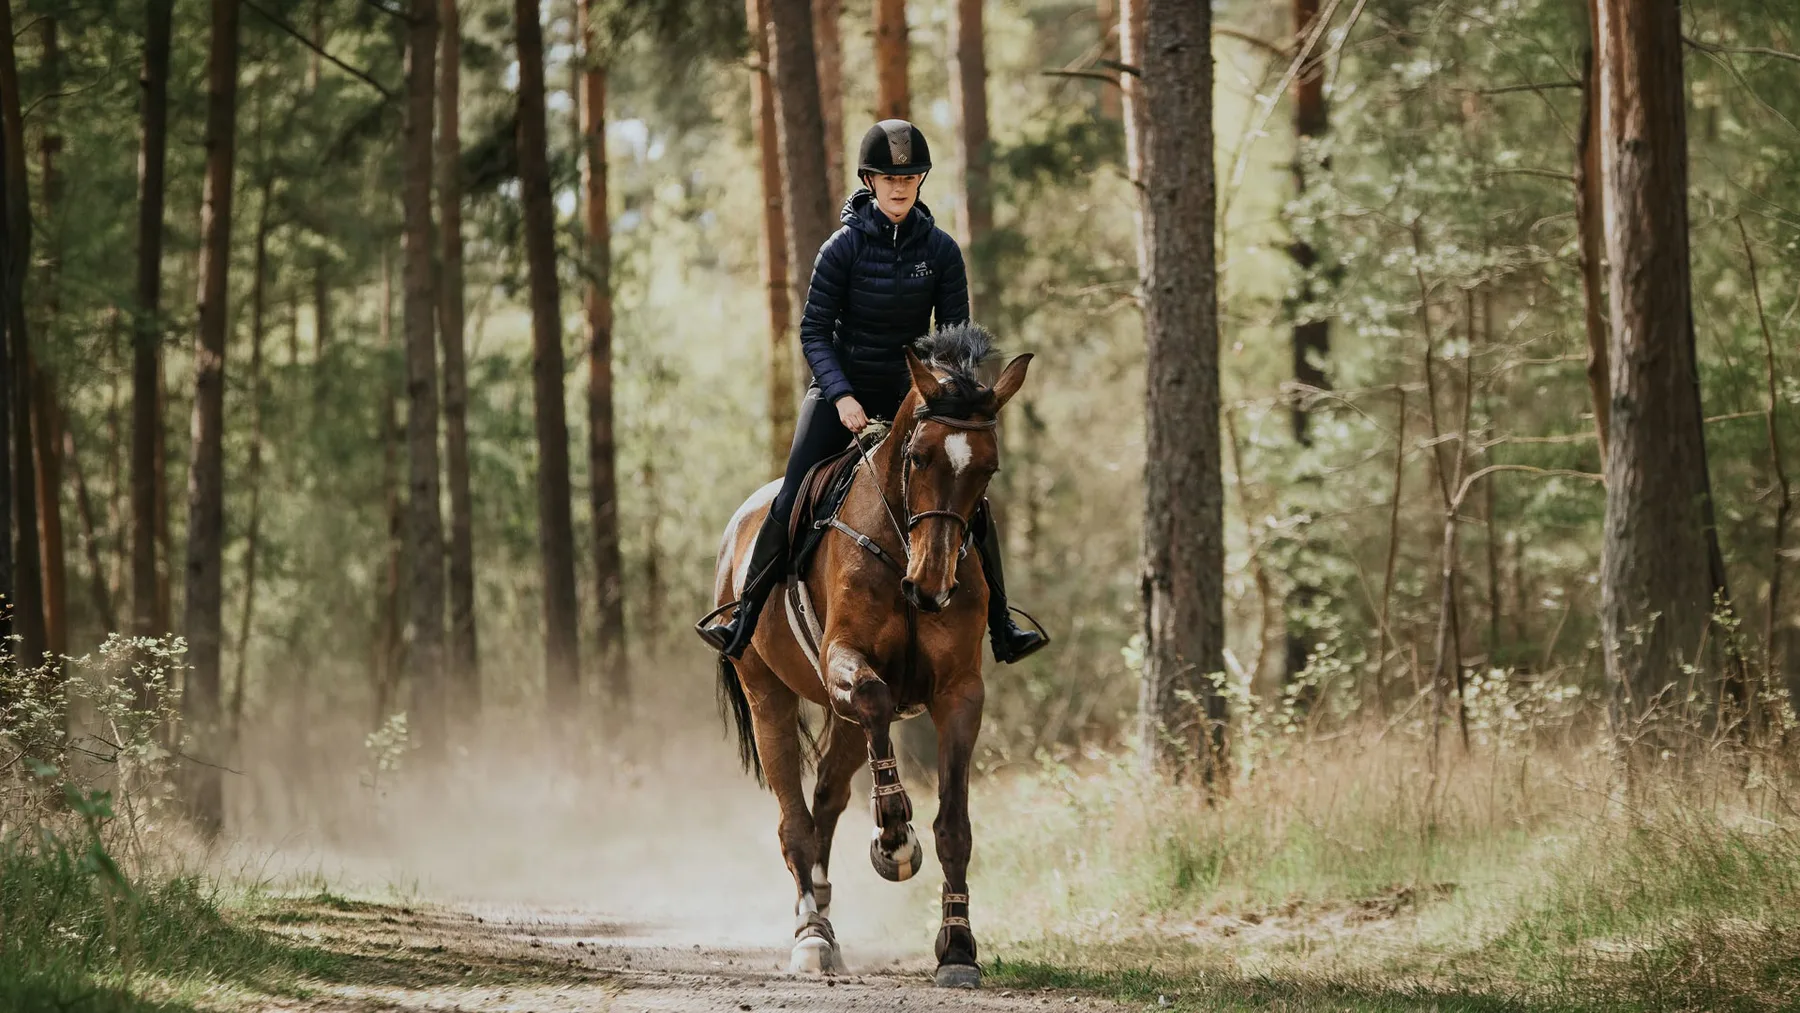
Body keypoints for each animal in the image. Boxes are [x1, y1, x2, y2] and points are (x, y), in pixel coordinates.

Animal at [709, 325, 1031, 988]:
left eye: (988, 467)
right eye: (919, 457)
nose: (931, 586)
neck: (900, 543)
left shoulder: (960, 692)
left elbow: (954, 826)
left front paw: (958, 948)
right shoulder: (846, 659)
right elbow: (877, 695)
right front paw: (894, 838)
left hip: (844, 722)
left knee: (826, 800)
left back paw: (825, 914)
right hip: (767, 693)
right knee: (795, 821)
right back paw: (810, 935)